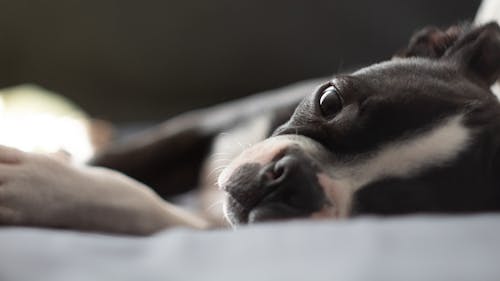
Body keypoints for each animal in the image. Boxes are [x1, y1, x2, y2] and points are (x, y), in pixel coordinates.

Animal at [0, 21, 498, 233]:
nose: (288, 177)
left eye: (397, 208)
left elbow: (136, 200)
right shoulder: (201, 127)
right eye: (329, 100)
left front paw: (45, 188)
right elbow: (121, 161)